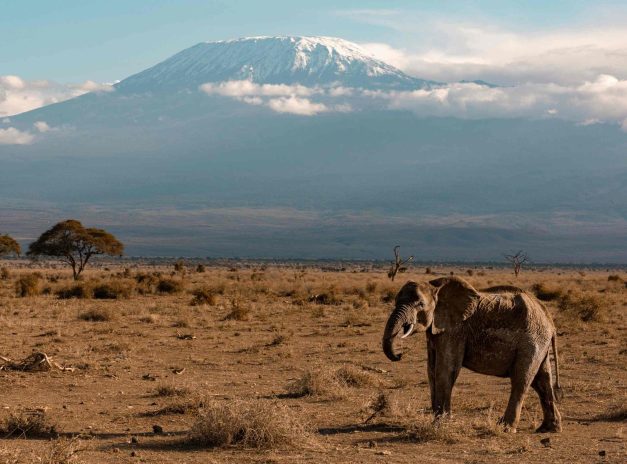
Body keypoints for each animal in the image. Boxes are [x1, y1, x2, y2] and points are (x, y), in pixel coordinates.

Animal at [382, 276, 564, 432]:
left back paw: (506, 428)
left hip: (532, 340)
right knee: (542, 380)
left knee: (522, 379)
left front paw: (440, 424)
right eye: (396, 301)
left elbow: (445, 369)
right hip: (539, 341)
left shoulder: (455, 330)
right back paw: (548, 429)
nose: (399, 355)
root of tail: (549, 320)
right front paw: (437, 420)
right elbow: (431, 370)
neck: (435, 287)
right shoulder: (437, 330)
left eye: (420, 304)